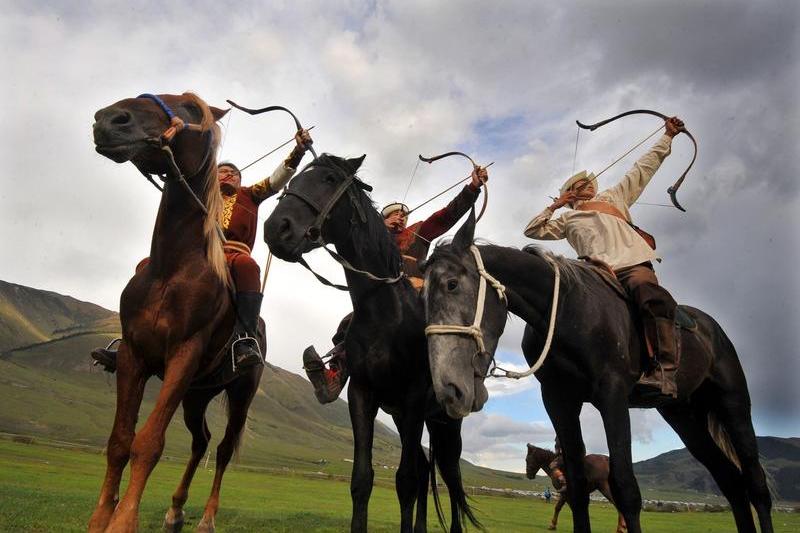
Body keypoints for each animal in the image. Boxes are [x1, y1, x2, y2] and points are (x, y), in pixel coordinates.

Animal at [90, 93, 266, 528]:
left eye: (188, 108)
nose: (109, 119)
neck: (171, 269)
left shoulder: (183, 357)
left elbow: (149, 442)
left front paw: (123, 522)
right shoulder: (134, 356)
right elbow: (120, 441)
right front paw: (101, 518)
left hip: (238, 395)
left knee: (221, 449)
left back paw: (206, 518)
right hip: (196, 395)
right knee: (200, 441)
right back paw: (175, 509)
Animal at [264, 154, 476, 532]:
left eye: (330, 179)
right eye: (297, 177)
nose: (277, 228)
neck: (385, 314)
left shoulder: (413, 398)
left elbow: (405, 481)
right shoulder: (363, 395)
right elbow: (363, 480)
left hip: (445, 423)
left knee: (452, 481)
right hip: (407, 419)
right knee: (427, 469)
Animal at [422, 211, 772, 532]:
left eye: (452, 284)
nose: (449, 391)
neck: (567, 311)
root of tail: (711, 328)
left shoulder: (612, 396)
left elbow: (627, 489)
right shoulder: (559, 400)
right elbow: (577, 490)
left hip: (732, 404)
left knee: (756, 486)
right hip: (684, 415)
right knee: (731, 482)